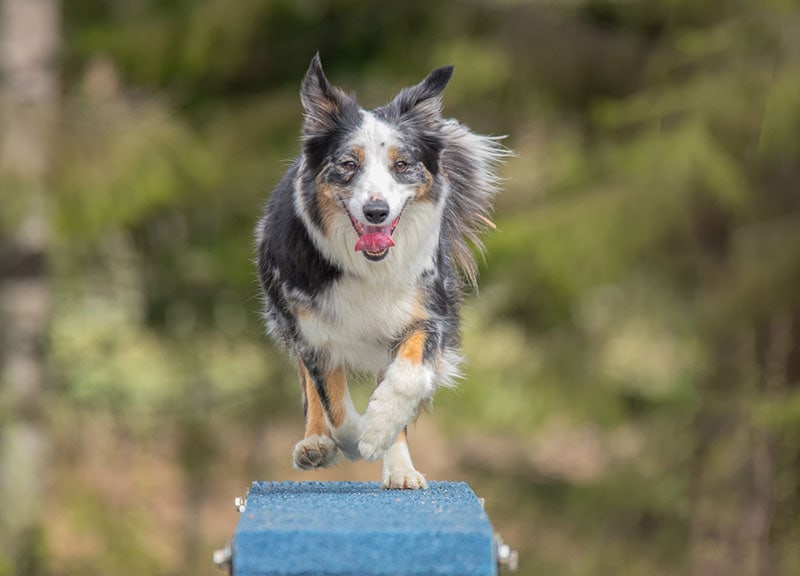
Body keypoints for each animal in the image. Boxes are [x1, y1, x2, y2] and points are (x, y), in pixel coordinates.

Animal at [256, 54, 506, 488]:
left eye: (402, 165)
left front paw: (378, 430)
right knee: (312, 387)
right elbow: (333, 403)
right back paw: (316, 442)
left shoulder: (429, 314)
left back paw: (400, 467)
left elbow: (407, 378)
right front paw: (356, 437)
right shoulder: (311, 330)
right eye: (348, 164)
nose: (377, 211)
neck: (369, 268)